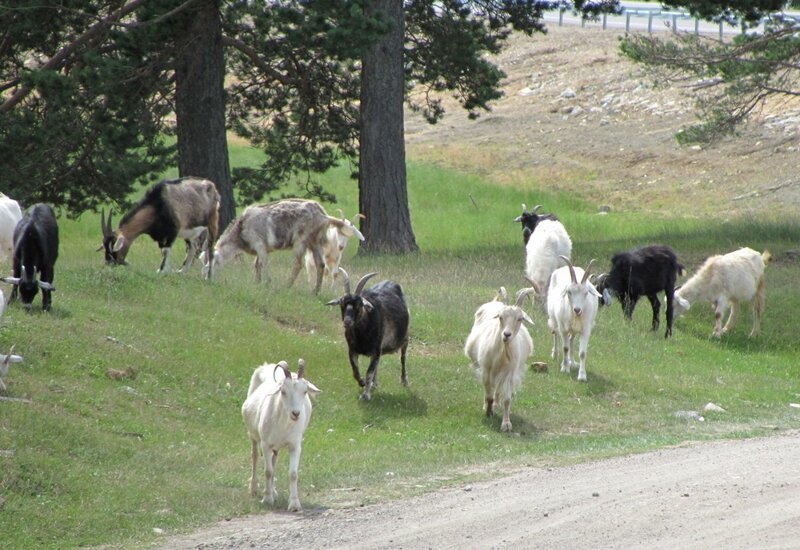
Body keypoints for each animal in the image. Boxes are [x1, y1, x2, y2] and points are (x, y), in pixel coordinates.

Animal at [242, 360, 320, 516]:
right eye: (283, 391)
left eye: (305, 391)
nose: (296, 413)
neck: (283, 424)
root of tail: (267, 365)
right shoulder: (265, 444)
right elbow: (268, 471)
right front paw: (267, 499)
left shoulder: (295, 445)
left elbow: (293, 473)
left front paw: (294, 503)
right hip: (253, 435)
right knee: (254, 456)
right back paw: (254, 488)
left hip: (276, 446)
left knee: (273, 460)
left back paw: (273, 491)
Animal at [326, 268, 410, 402]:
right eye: (342, 303)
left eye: (359, 304)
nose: (347, 321)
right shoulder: (352, 350)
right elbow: (356, 372)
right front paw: (363, 383)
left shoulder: (376, 350)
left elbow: (369, 372)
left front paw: (365, 395)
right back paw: (374, 384)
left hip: (405, 338)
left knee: (403, 358)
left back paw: (404, 381)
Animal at [462, 286, 532, 434]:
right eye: (500, 317)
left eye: (520, 318)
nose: (506, 334)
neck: (502, 353)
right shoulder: (485, 369)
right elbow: (488, 394)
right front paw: (488, 412)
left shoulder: (509, 374)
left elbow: (507, 399)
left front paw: (506, 424)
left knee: (498, 389)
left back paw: (496, 403)